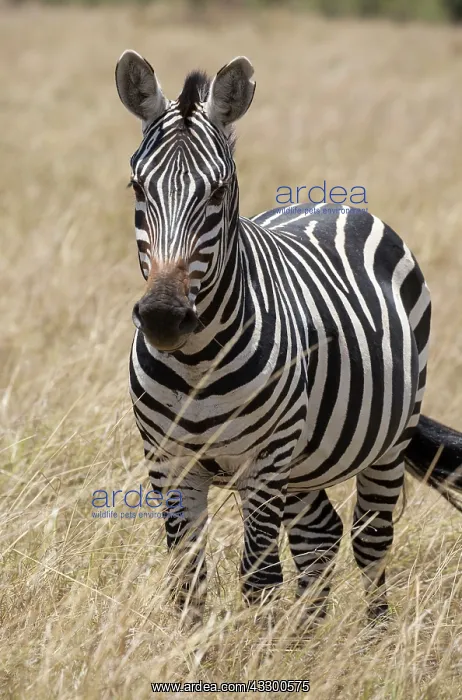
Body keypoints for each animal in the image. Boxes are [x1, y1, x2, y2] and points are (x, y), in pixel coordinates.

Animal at [115, 51, 462, 627]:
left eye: (217, 192)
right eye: (138, 188)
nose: (163, 318)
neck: (196, 363)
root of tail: (335, 203)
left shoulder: (265, 461)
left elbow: (258, 579)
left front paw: (258, 651)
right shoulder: (168, 463)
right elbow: (188, 582)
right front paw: (198, 648)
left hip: (387, 439)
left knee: (370, 539)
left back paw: (374, 638)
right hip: (303, 466)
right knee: (318, 535)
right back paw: (305, 640)